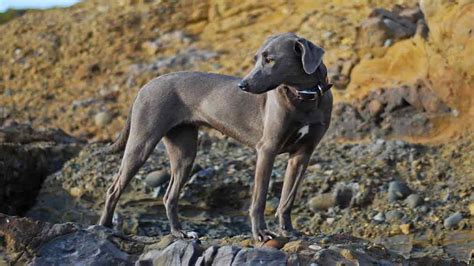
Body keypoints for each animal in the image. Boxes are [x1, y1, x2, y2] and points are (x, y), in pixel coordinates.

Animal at [98, 32, 332, 242]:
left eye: (270, 59)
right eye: (257, 58)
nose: (242, 85)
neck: (305, 96)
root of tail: (145, 86)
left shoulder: (302, 155)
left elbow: (287, 199)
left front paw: (288, 230)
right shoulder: (267, 150)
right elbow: (259, 200)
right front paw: (261, 233)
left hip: (184, 152)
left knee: (169, 195)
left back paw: (179, 233)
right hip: (141, 143)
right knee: (113, 189)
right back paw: (105, 227)